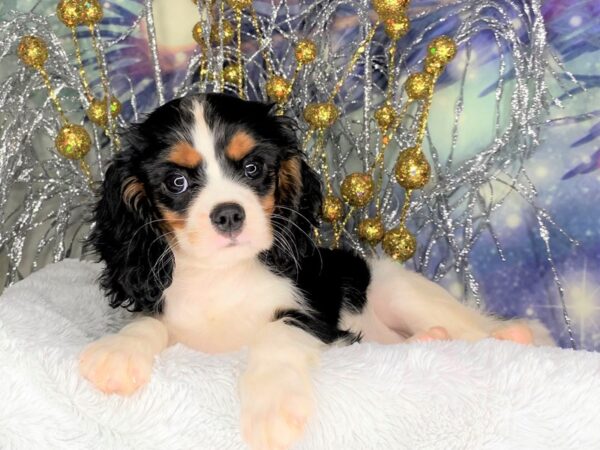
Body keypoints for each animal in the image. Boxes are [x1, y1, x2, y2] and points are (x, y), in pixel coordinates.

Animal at [82, 92, 556, 450]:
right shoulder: (173, 316)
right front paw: (117, 353)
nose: (229, 214)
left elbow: (276, 334)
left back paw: (513, 334)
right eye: (177, 183)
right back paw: (430, 340)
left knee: (475, 332)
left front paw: (271, 407)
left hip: (400, 290)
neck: (224, 275)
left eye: (252, 168)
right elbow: (147, 323)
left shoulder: (312, 312)